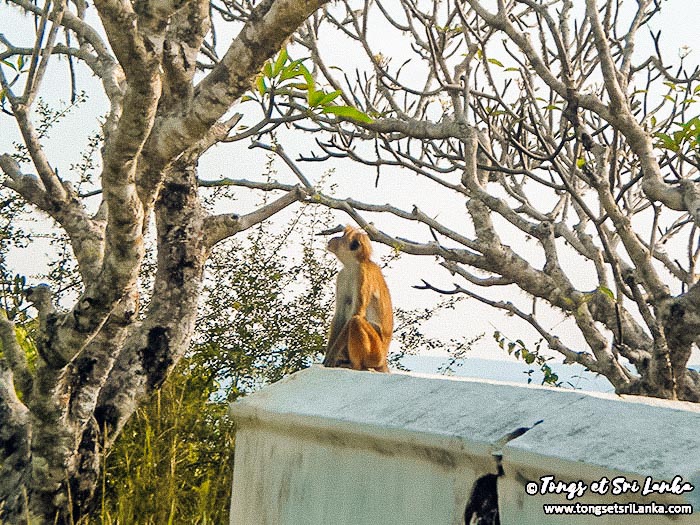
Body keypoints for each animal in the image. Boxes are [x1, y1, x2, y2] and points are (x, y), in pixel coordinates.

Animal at [323, 225, 392, 373]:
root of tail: (383, 361)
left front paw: (332, 354)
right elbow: (339, 315)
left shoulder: (361, 275)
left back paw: (355, 365)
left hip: (376, 355)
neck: (353, 265)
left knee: (355, 321)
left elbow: (357, 313)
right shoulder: (342, 276)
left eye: (342, 236)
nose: (334, 238)